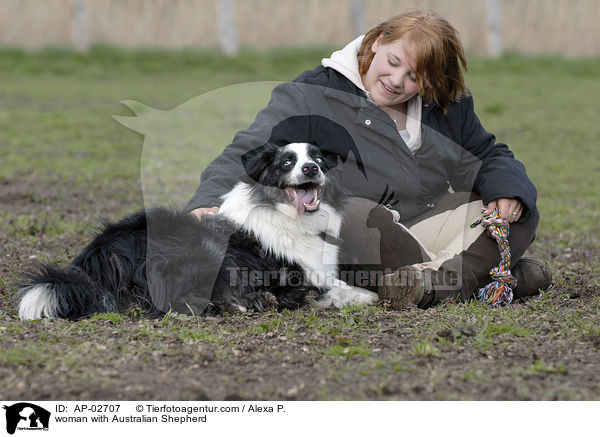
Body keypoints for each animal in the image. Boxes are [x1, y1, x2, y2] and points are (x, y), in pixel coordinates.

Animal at [17, 143, 380, 320]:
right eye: (286, 163)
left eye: (318, 158)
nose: (311, 169)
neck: (286, 214)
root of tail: (97, 255)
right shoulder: (295, 276)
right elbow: (333, 289)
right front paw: (363, 295)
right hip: (199, 250)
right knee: (171, 304)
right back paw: (243, 304)